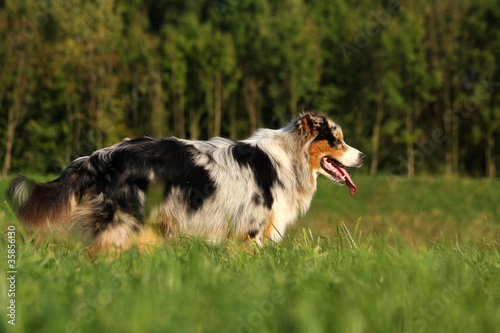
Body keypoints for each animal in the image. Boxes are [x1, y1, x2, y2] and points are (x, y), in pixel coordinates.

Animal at [5, 113, 366, 248]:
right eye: (337, 141)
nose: (362, 156)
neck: (290, 158)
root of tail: (99, 156)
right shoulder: (249, 232)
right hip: (121, 223)